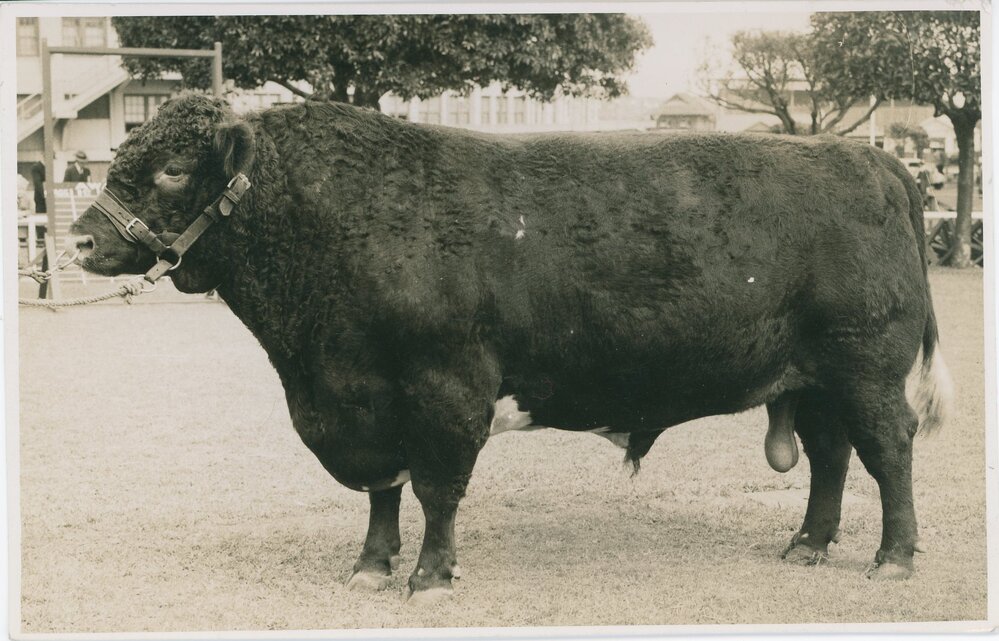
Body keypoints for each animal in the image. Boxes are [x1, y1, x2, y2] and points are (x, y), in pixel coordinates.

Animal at [69, 94, 951, 604]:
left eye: (173, 168)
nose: (79, 239)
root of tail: (868, 156)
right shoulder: (364, 401)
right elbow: (382, 491)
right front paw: (371, 563)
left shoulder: (444, 389)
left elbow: (435, 487)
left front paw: (429, 575)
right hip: (810, 380)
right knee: (831, 455)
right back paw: (806, 546)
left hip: (867, 370)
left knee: (888, 451)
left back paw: (893, 557)